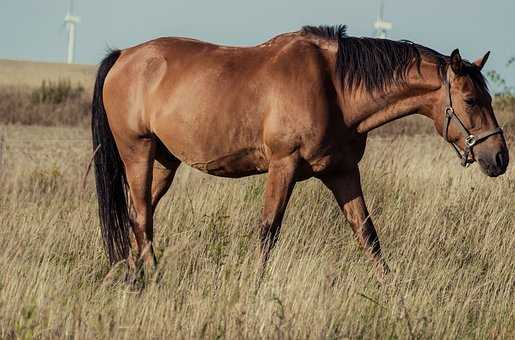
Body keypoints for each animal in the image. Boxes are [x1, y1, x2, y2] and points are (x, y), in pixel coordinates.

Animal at [90, 23, 510, 278]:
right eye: (471, 100)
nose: (499, 157)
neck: (334, 87)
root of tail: (124, 56)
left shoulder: (342, 173)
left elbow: (367, 234)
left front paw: (392, 292)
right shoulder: (284, 167)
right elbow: (268, 231)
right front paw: (256, 286)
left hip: (164, 162)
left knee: (140, 216)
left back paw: (133, 277)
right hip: (138, 155)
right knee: (141, 217)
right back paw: (151, 278)